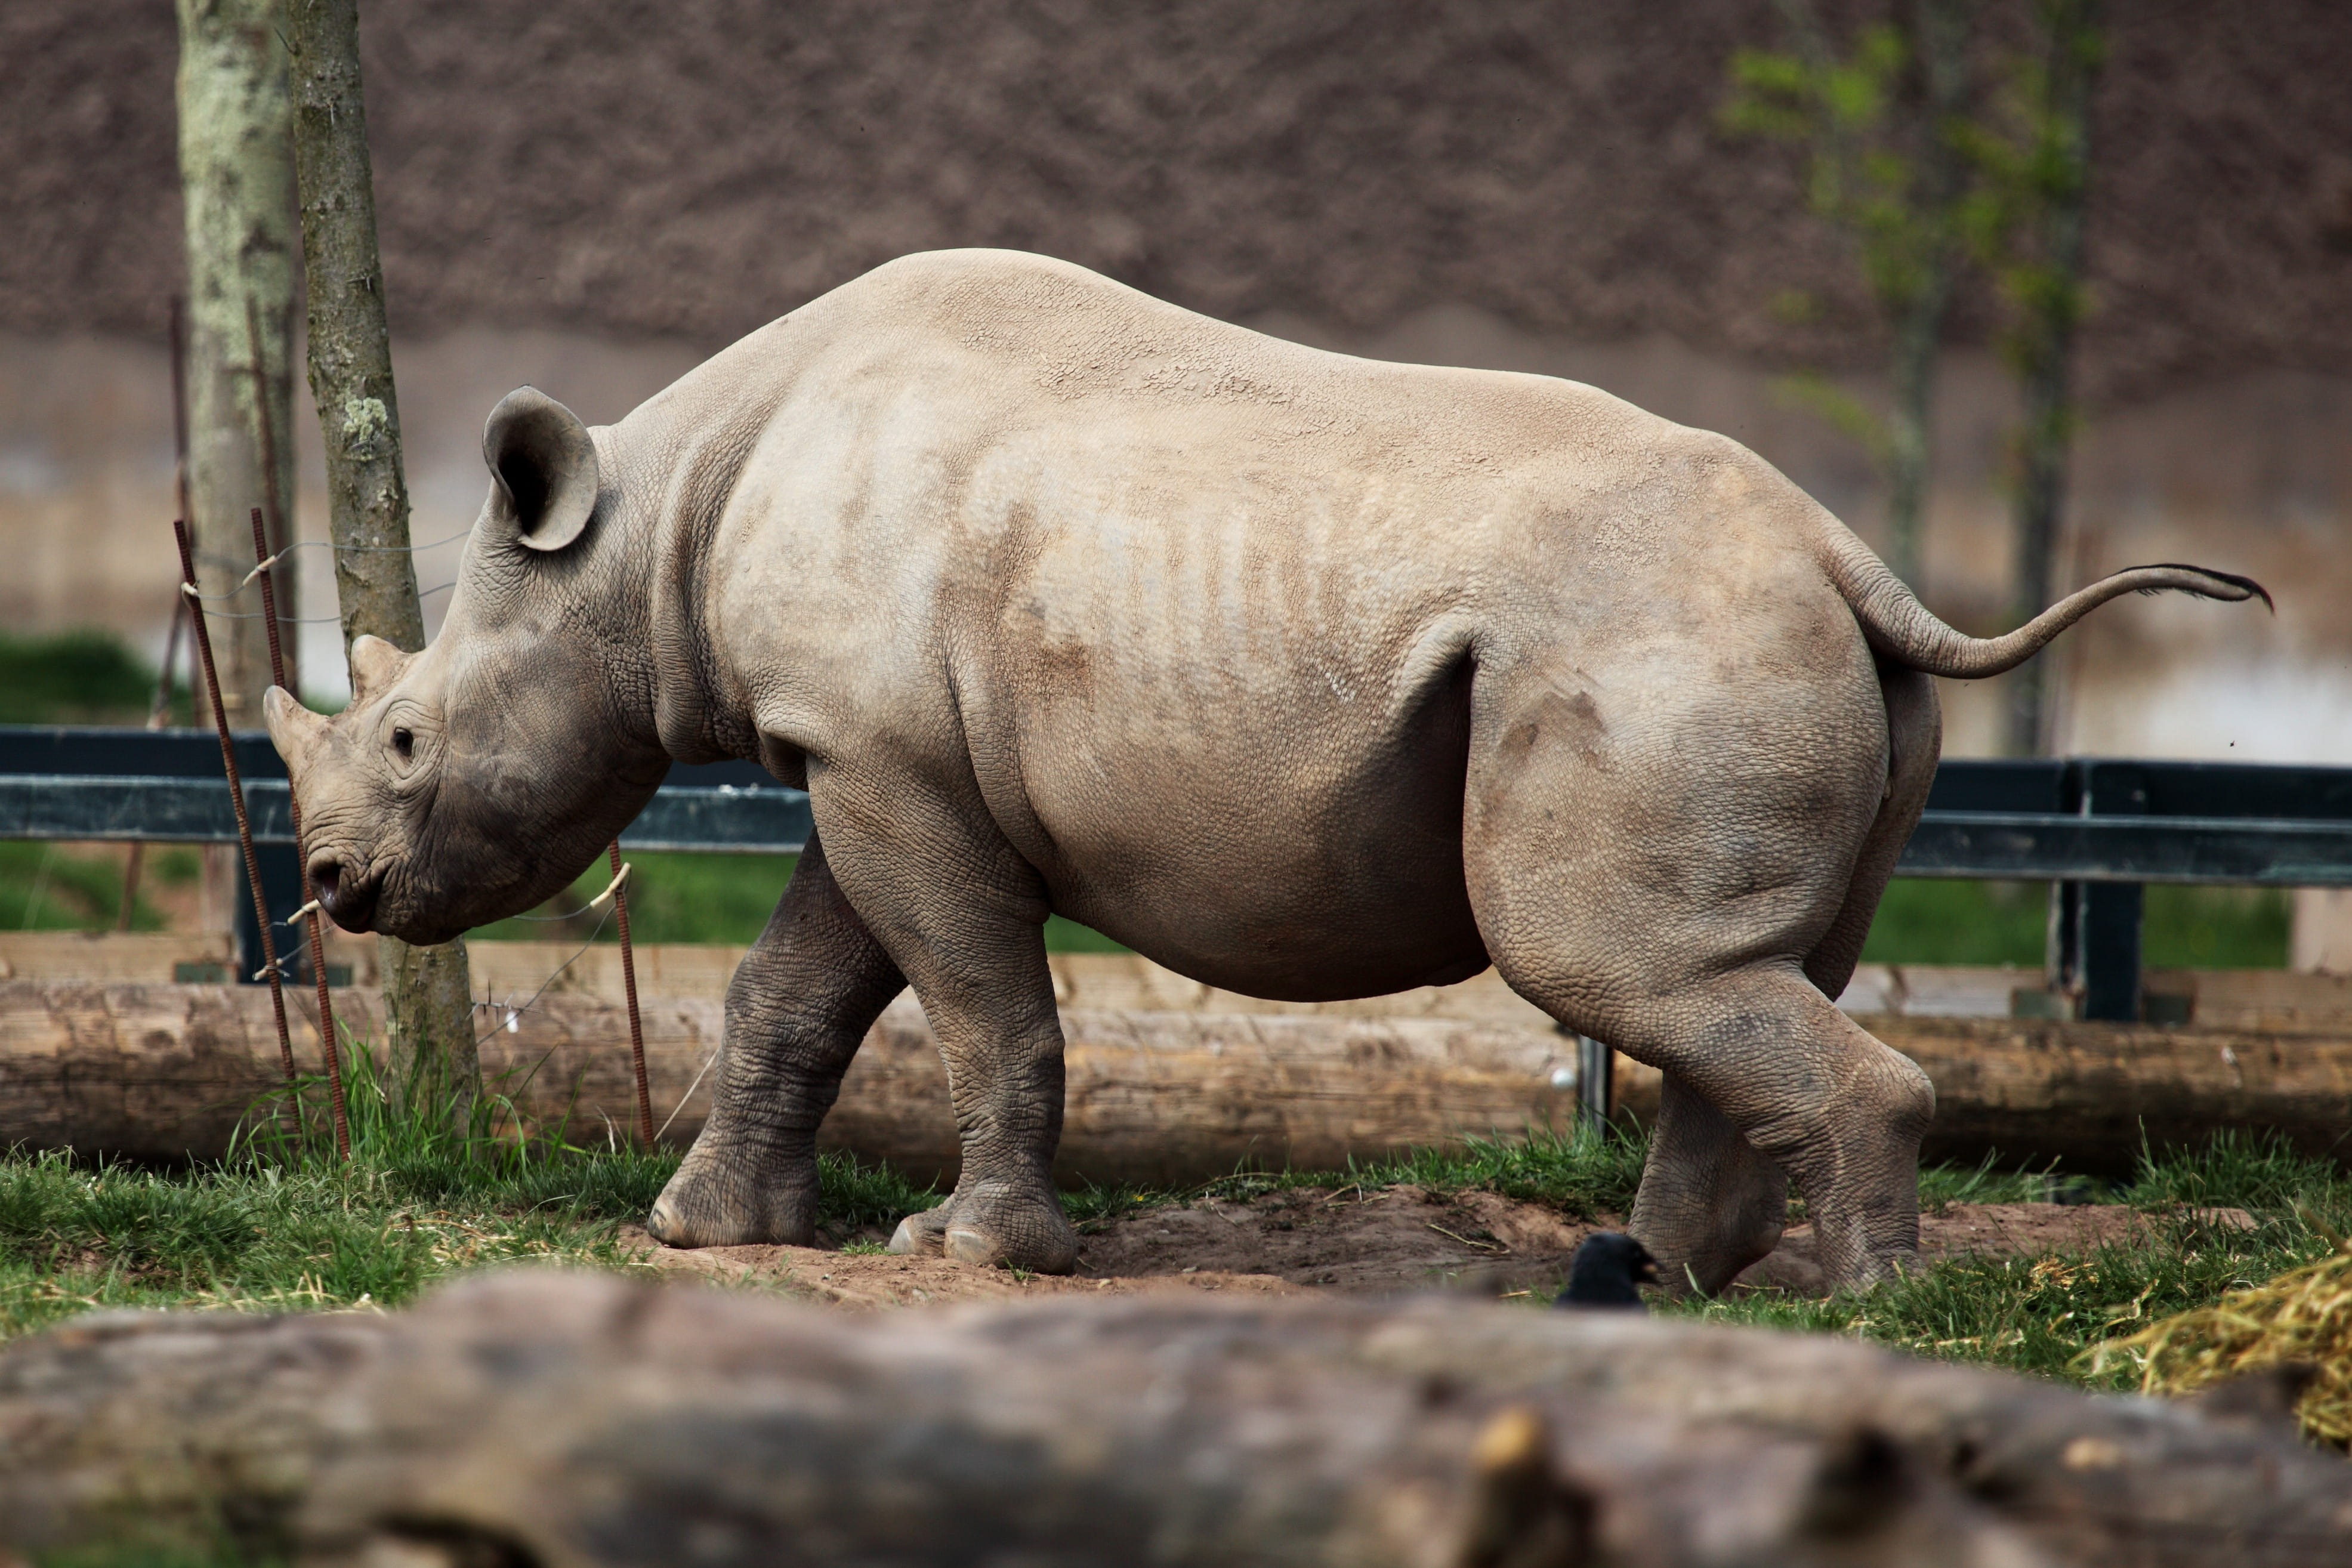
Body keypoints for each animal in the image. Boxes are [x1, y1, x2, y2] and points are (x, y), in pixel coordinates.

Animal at [267, 249, 2265, 1292]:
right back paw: (1657, 1291)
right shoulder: (876, 749)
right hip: (1767, 657)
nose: (334, 889)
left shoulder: (884, 759)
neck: (647, 530)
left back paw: (1846, 1314)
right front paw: (700, 1233)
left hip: (1648, 646)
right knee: (1723, 976)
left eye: (408, 734)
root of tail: (1857, 563)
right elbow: (797, 988)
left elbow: (976, 998)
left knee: (1597, 963)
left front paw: (968, 1255)